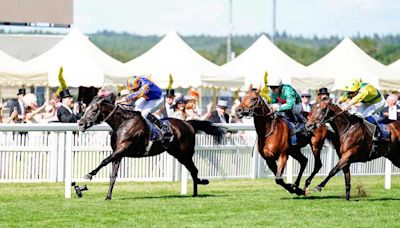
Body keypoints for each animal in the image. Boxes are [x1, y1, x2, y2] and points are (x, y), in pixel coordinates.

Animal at [76, 94, 223, 200]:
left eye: (94, 110)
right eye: (85, 109)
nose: (80, 123)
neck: (123, 123)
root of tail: (188, 124)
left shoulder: (123, 148)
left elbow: (104, 160)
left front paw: (89, 174)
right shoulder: (118, 154)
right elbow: (113, 175)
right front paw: (108, 196)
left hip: (185, 154)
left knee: (194, 170)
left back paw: (199, 187)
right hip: (177, 154)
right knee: (193, 171)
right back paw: (196, 191)